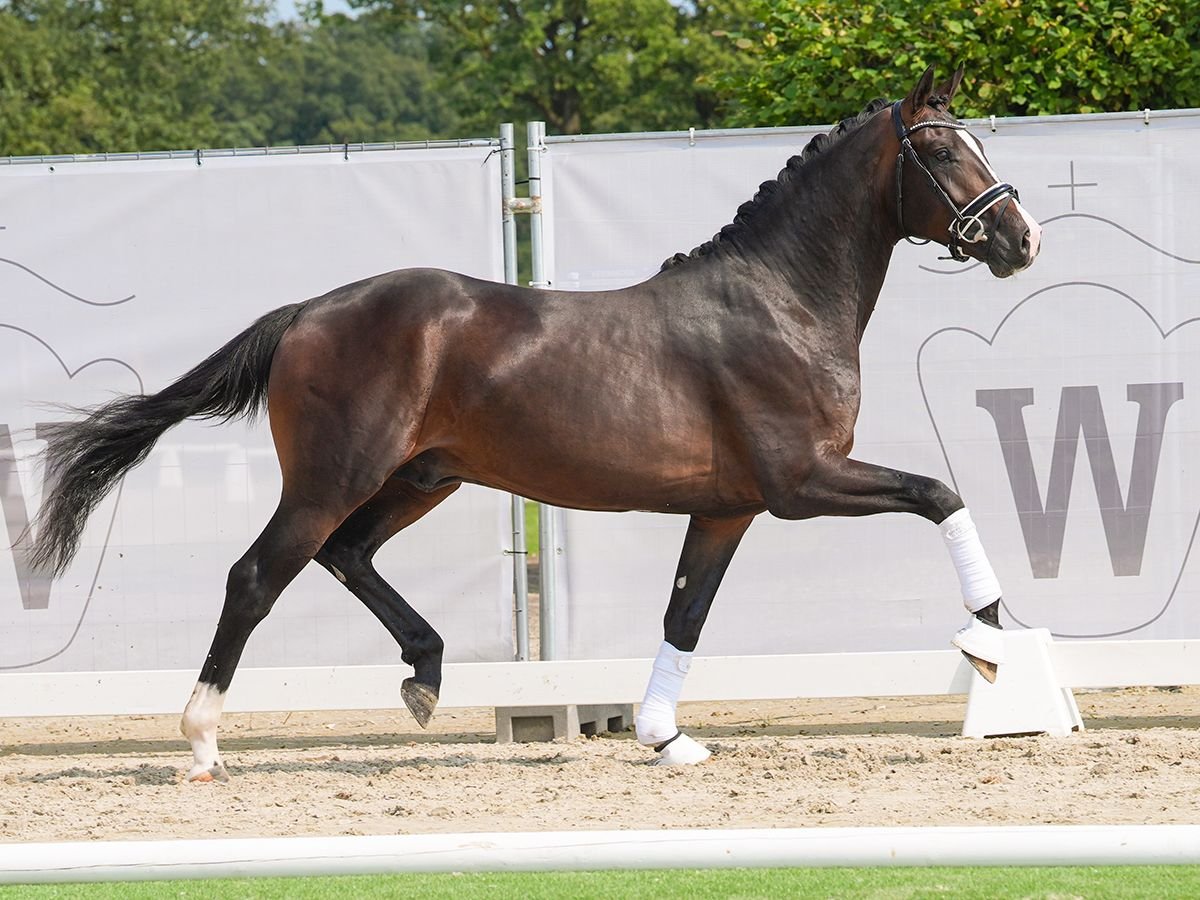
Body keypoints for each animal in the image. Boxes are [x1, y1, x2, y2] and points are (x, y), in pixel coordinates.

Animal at [30, 65, 1041, 782]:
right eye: (941, 151)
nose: (1021, 240)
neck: (779, 301)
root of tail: (309, 311)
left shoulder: (728, 508)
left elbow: (686, 612)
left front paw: (665, 737)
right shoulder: (802, 483)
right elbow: (939, 493)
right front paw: (992, 642)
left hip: (422, 478)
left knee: (347, 555)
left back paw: (426, 675)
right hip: (333, 478)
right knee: (256, 576)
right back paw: (203, 743)